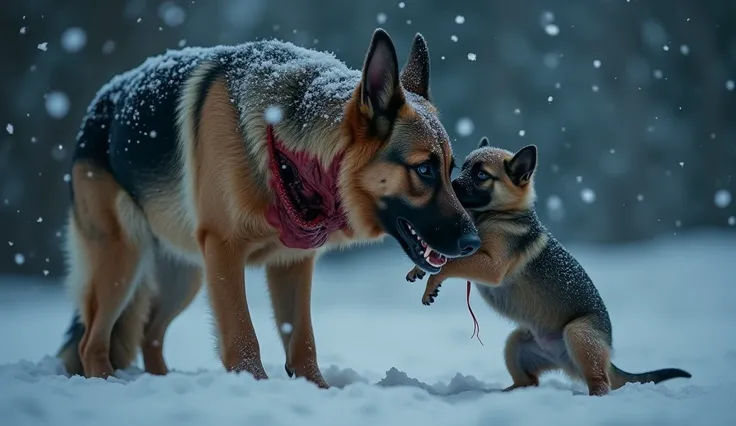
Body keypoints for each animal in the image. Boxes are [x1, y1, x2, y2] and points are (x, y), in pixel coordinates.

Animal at [57, 29, 484, 390]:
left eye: (451, 171)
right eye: (424, 170)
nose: (474, 243)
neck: (286, 152)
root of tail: (97, 106)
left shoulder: (292, 262)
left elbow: (302, 340)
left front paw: (317, 390)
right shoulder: (225, 252)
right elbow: (243, 337)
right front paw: (256, 387)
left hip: (185, 276)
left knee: (149, 337)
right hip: (122, 262)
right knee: (91, 342)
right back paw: (105, 383)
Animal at [406, 138, 692, 394]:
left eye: (481, 175)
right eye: (462, 168)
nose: (449, 187)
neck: (500, 214)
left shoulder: (491, 265)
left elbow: (454, 263)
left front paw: (432, 281)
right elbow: (445, 257)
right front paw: (420, 268)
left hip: (578, 333)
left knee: (601, 383)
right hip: (516, 344)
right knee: (529, 381)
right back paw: (505, 392)